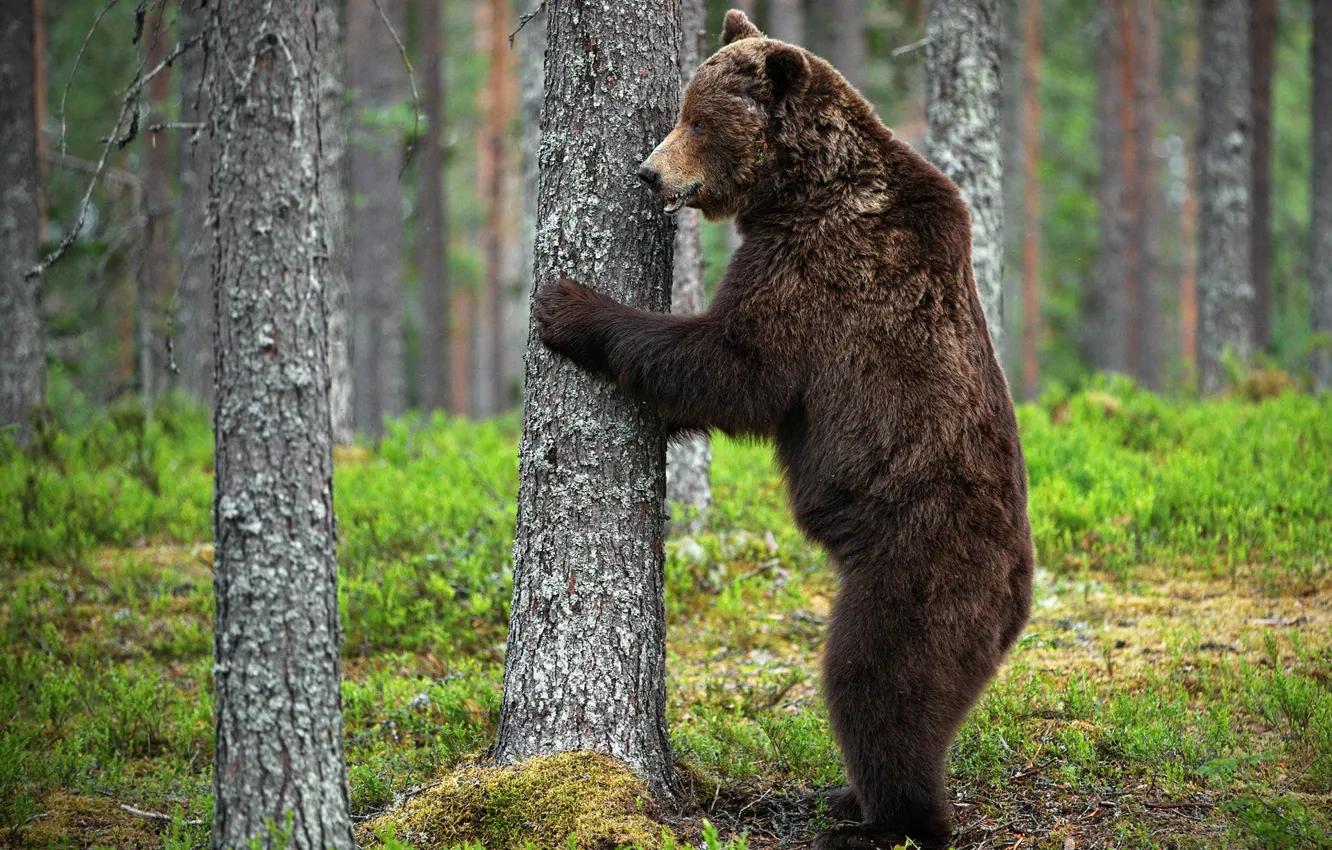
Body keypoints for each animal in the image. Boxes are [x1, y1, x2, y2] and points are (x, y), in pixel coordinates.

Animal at [533, 10, 1034, 850]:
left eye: (698, 120)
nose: (646, 173)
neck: (803, 185)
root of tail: (1018, 599)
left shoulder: (821, 267)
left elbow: (736, 366)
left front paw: (565, 305)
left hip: (918, 570)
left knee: (877, 684)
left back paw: (881, 819)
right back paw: (847, 799)